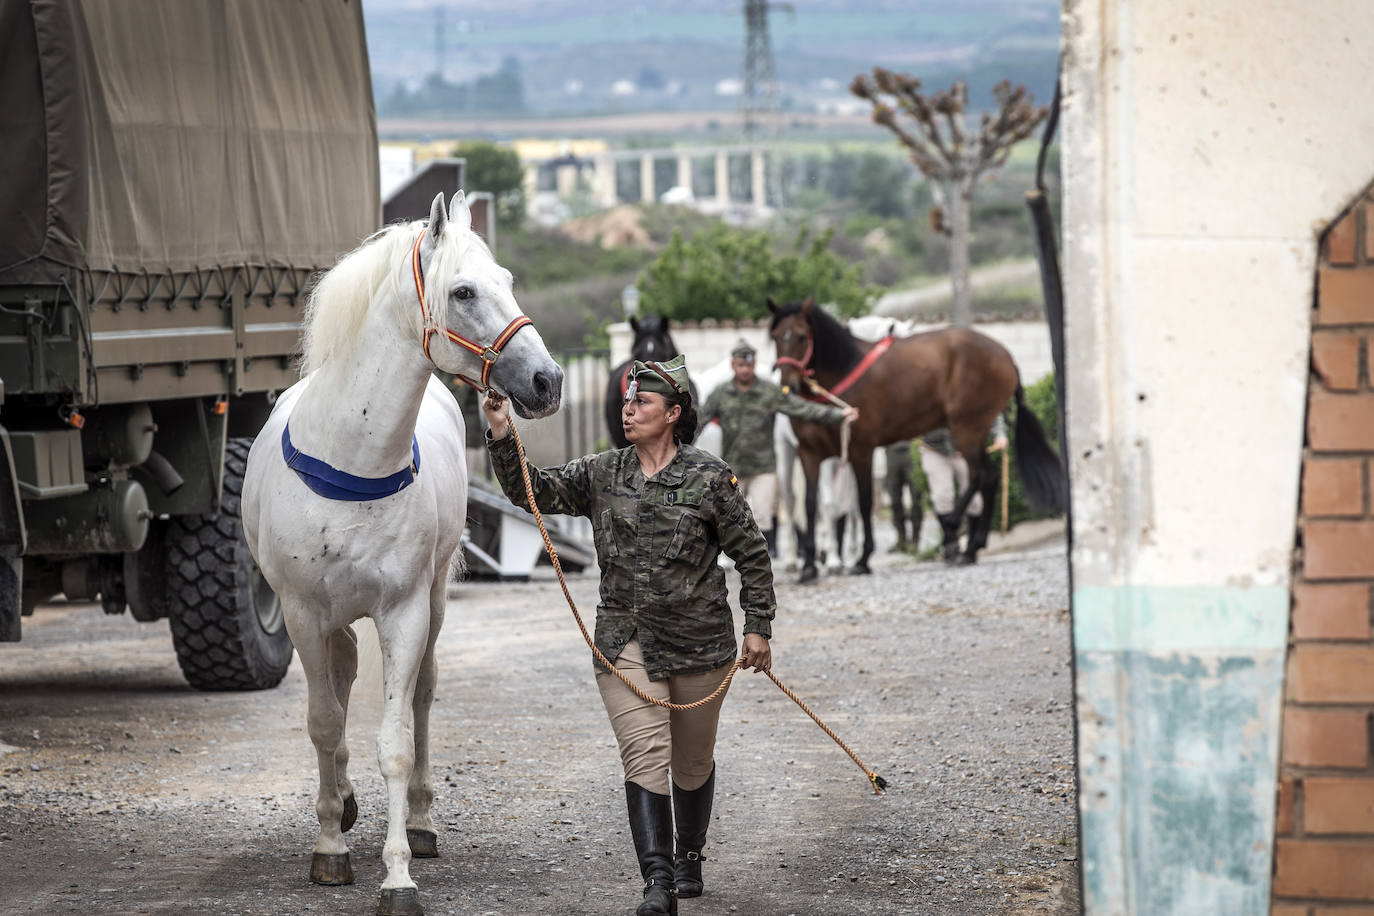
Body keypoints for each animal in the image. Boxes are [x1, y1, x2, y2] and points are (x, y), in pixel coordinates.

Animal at [244, 193, 560, 916]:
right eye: (464, 291)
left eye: (507, 280)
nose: (547, 380)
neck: (351, 462)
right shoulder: (302, 614)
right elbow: (324, 723)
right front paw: (330, 847)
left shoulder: (406, 611)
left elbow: (394, 740)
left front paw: (398, 875)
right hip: (333, 621)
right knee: (338, 691)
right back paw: (340, 802)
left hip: (435, 603)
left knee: (420, 697)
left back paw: (417, 821)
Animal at [769, 293, 1066, 579]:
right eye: (776, 336)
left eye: (801, 336)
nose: (789, 386)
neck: (841, 376)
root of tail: (1006, 356)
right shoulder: (809, 452)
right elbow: (811, 505)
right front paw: (810, 566)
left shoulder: (860, 450)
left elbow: (864, 502)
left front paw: (862, 560)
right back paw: (970, 547)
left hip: (967, 428)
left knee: (983, 475)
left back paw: (956, 533)